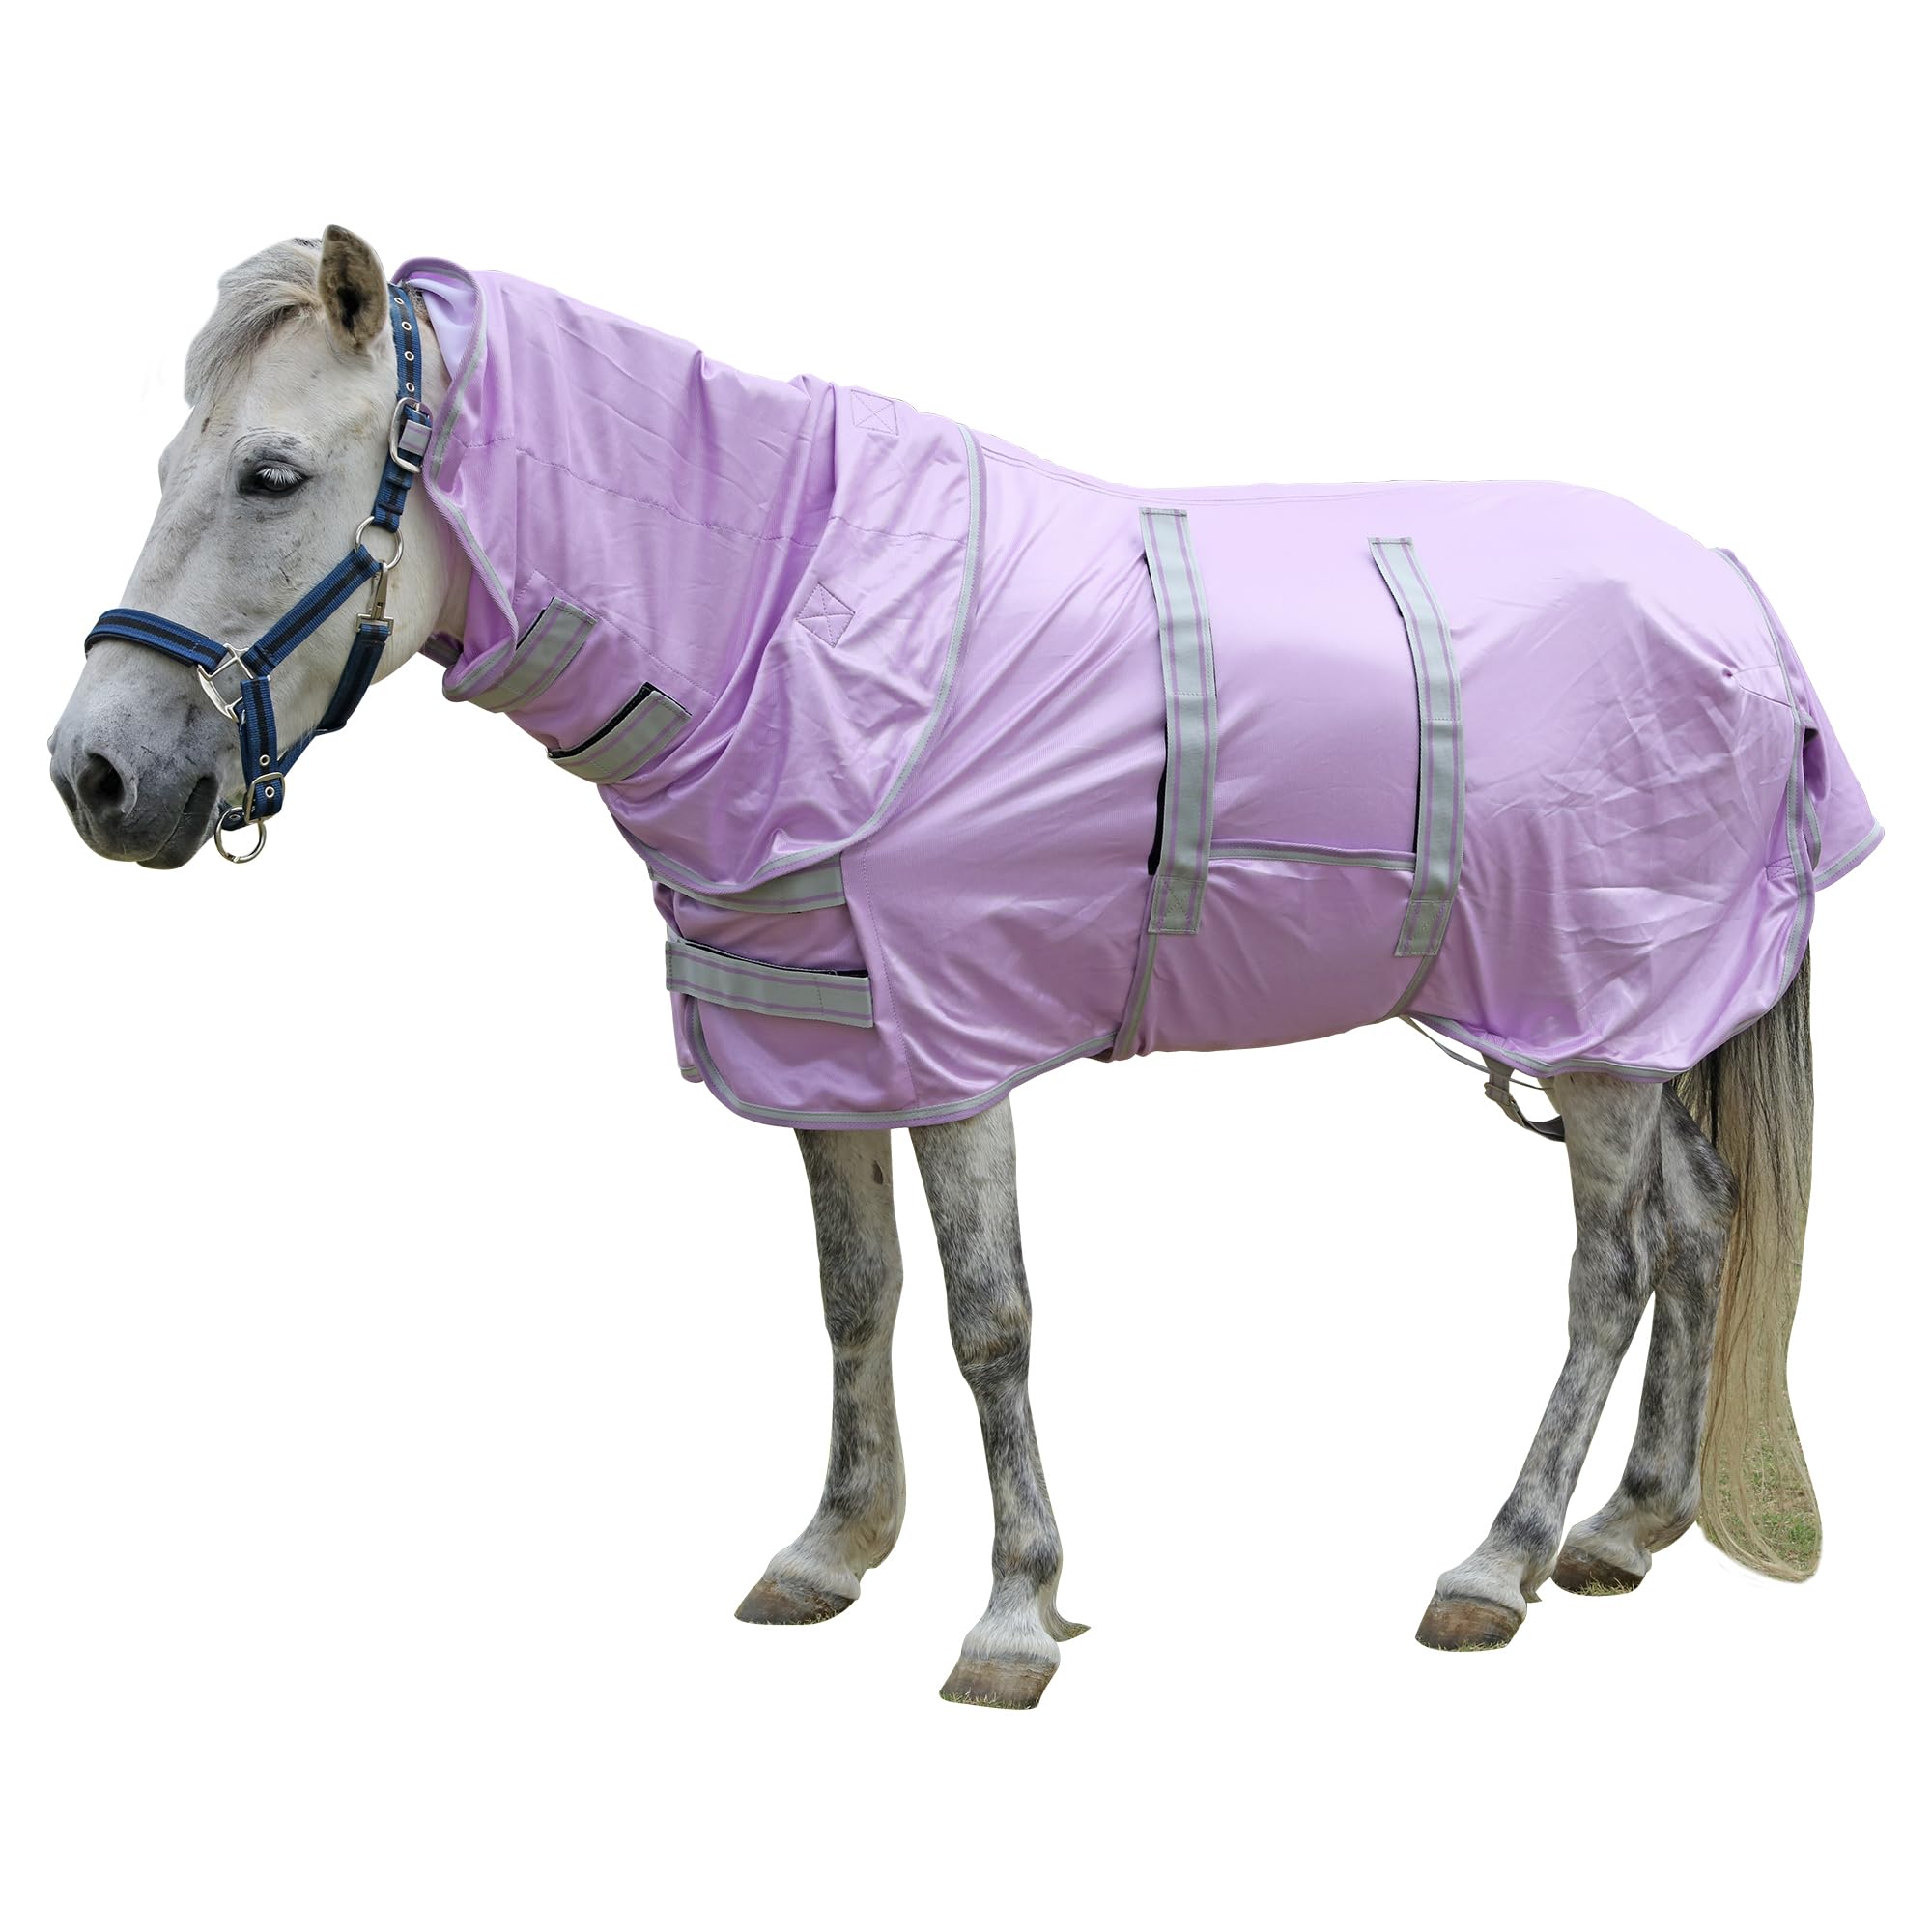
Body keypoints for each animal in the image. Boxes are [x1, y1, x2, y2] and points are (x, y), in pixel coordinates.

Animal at [48, 227, 1878, 1708]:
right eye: (173, 457)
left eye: (272, 475)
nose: (95, 775)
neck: (790, 624)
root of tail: (1734, 599)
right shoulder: (826, 1044)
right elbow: (854, 1296)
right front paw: (833, 1546)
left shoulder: (958, 1047)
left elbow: (991, 1320)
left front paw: (1013, 1616)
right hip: (1628, 1031)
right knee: (1702, 1225)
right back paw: (1629, 1526)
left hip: (1596, 1020)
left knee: (1609, 1273)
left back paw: (1498, 1561)